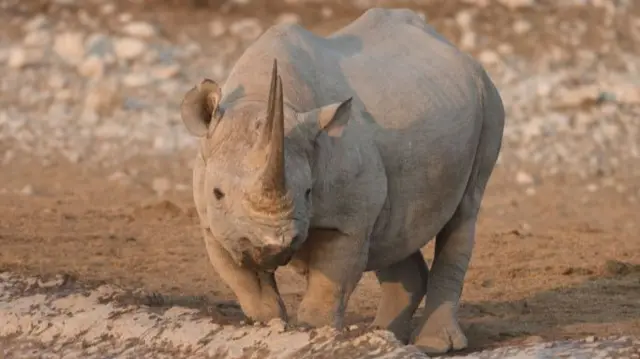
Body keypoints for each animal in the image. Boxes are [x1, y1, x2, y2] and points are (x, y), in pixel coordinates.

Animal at [180, 7, 504, 356]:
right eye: (218, 194)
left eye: (308, 193)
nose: (271, 247)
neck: (256, 98)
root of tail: (456, 50)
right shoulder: (215, 227)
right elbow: (251, 291)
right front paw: (267, 330)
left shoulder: (345, 222)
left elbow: (327, 291)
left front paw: (315, 337)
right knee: (393, 231)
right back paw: (384, 336)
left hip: (489, 100)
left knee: (464, 210)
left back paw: (433, 345)